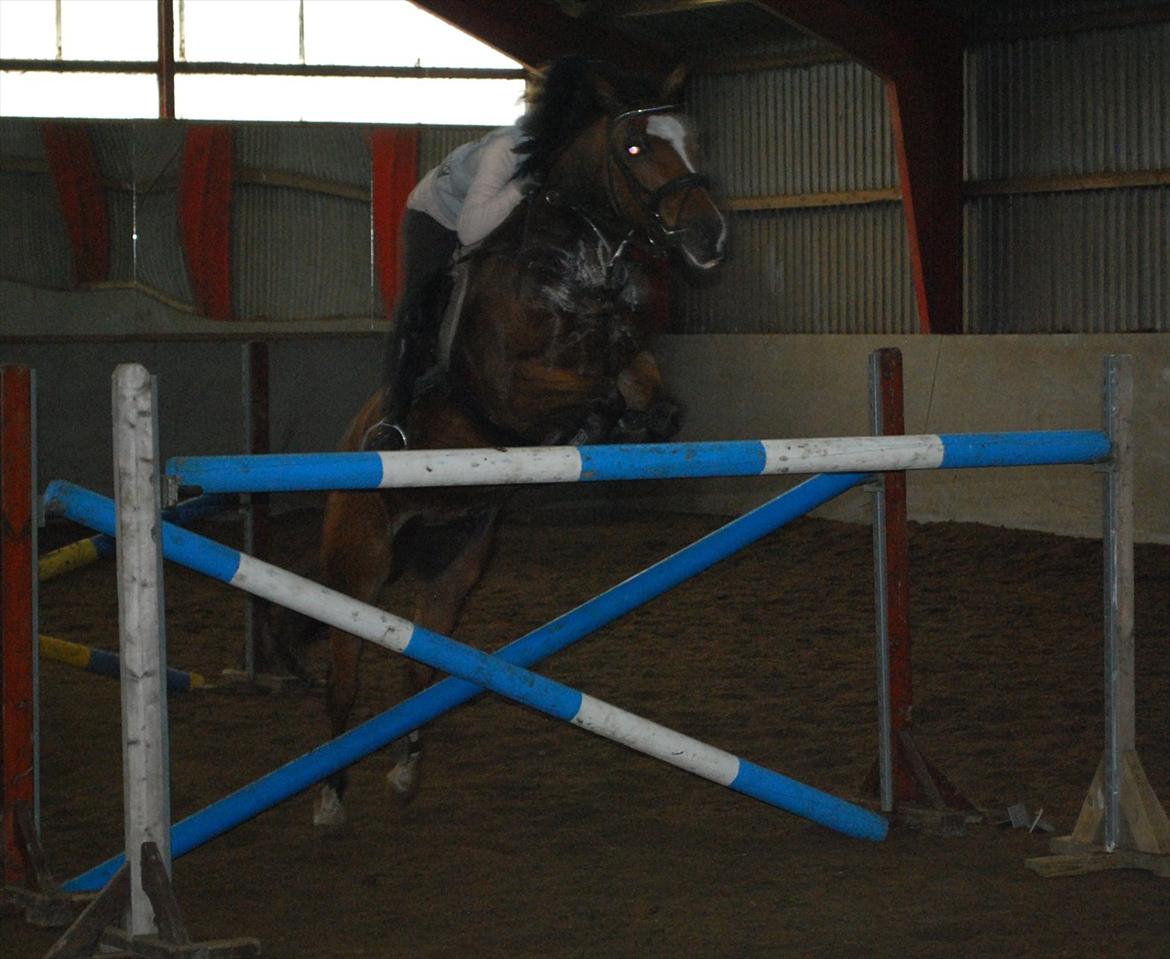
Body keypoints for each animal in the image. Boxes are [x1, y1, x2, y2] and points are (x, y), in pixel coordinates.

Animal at [304, 60, 727, 827]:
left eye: (693, 140)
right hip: (360, 561)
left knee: (421, 661)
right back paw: (329, 795)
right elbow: (592, 393)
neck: (581, 266)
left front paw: (631, 426)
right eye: (634, 148)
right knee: (344, 672)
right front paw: (597, 425)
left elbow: (652, 397)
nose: (711, 236)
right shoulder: (510, 390)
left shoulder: (627, 357)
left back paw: (406, 770)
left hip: (456, 561)